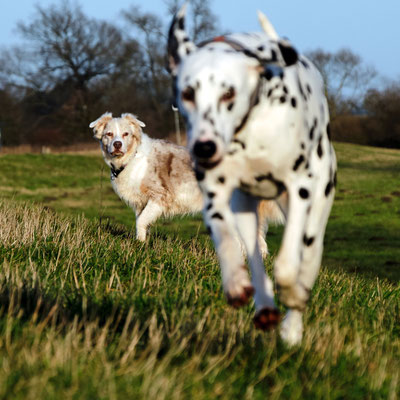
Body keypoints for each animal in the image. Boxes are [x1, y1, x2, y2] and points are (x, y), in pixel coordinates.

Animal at [90, 111, 284, 252]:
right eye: (109, 134)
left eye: (125, 134)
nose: (117, 144)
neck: (132, 158)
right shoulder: (141, 203)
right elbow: (141, 223)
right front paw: (141, 243)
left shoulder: (159, 197)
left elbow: (141, 221)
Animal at [167, 4, 336, 346]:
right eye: (188, 93)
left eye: (228, 93)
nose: (204, 147)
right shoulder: (217, 196)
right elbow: (226, 240)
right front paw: (235, 281)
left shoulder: (300, 190)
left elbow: (286, 266)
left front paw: (292, 297)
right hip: (246, 209)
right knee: (256, 257)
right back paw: (265, 304)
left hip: (316, 210)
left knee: (306, 258)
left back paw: (292, 325)